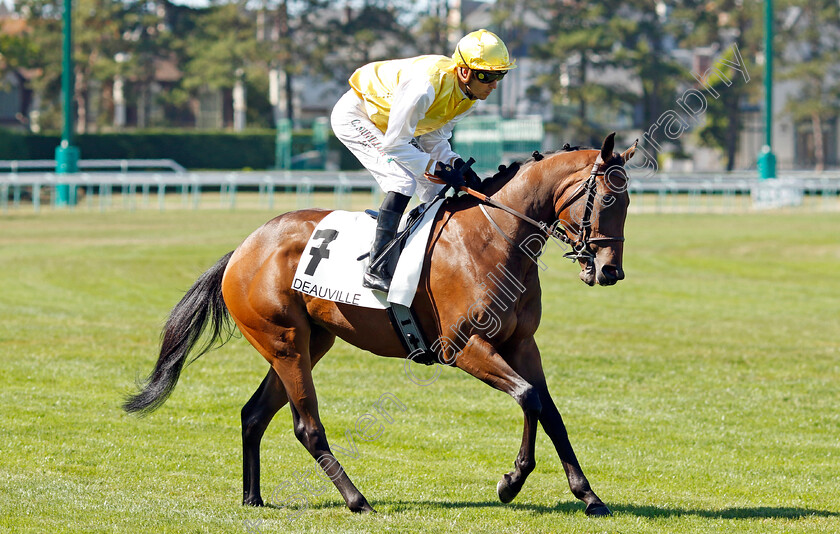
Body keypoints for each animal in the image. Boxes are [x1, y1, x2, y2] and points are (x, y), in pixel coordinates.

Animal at [123, 133, 636, 520]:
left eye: (629, 201)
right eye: (607, 198)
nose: (609, 270)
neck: (494, 239)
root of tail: (244, 248)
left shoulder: (522, 344)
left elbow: (549, 410)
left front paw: (588, 495)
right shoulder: (462, 347)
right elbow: (529, 398)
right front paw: (511, 480)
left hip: (307, 343)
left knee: (254, 414)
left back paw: (253, 497)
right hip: (285, 344)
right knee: (306, 426)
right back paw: (357, 500)